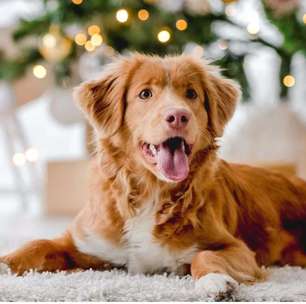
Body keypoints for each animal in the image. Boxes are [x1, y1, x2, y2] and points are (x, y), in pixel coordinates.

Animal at [1, 53, 306, 296]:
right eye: (145, 94)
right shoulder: (81, 242)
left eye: (191, 94)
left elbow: (205, 255)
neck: (151, 192)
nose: (178, 116)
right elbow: (36, 243)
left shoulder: (238, 249)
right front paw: (5, 263)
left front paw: (214, 280)